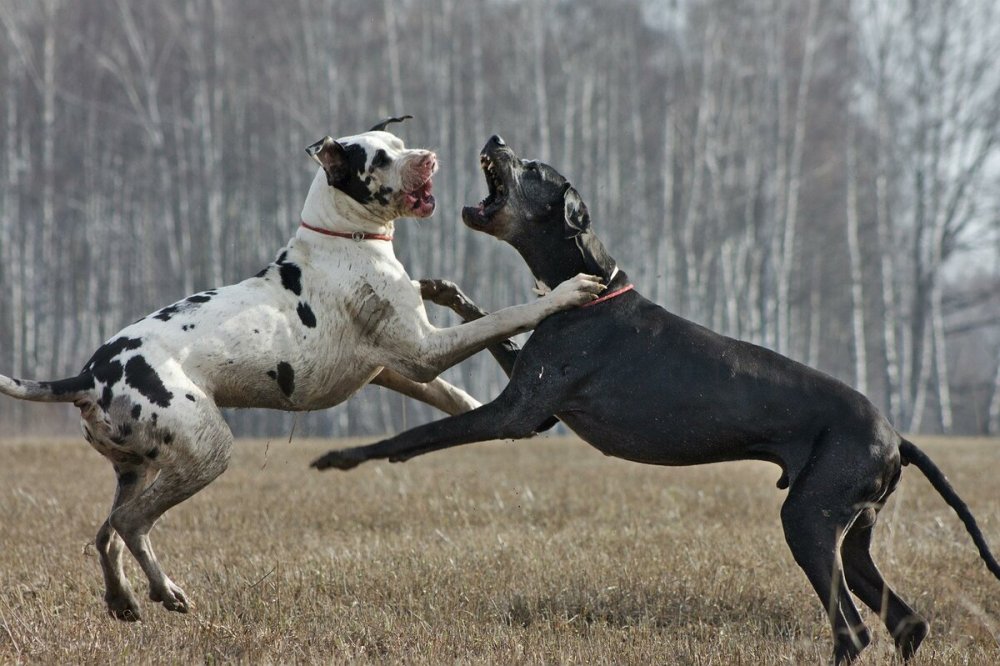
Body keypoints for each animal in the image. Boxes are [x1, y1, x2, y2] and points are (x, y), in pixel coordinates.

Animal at [0, 116, 600, 620]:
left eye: (400, 143)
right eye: (379, 159)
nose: (428, 158)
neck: (345, 241)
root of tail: (88, 377)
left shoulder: (395, 369)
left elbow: (455, 397)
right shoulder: (425, 352)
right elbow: (504, 317)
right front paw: (566, 292)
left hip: (138, 468)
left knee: (104, 534)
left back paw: (122, 598)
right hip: (205, 451)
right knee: (131, 525)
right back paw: (164, 590)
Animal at [314, 134, 1000, 660]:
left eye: (533, 168)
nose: (497, 139)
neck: (592, 283)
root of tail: (897, 436)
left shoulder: (518, 413)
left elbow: (421, 433)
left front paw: (347, 457)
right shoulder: (536, 394)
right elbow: (491, 322)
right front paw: (442, 288)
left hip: (809, 519)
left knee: (853, 631)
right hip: (851, 532)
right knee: (906, 620)